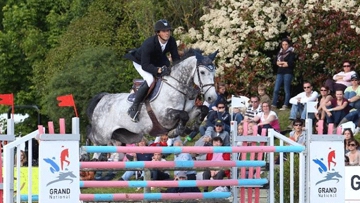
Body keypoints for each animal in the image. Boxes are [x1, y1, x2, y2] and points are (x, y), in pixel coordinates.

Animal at [86, 49, 219, 144]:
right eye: (202, 72)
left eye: (214, 72)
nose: (212, 98)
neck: (178, 87)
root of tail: (104, 98)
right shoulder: (164, 117)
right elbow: (183, 115)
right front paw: (177, 131)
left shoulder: (190, 111)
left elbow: (202, 109)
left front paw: (192, 128)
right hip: (102, 135)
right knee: (91, 135)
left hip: (129, 136)